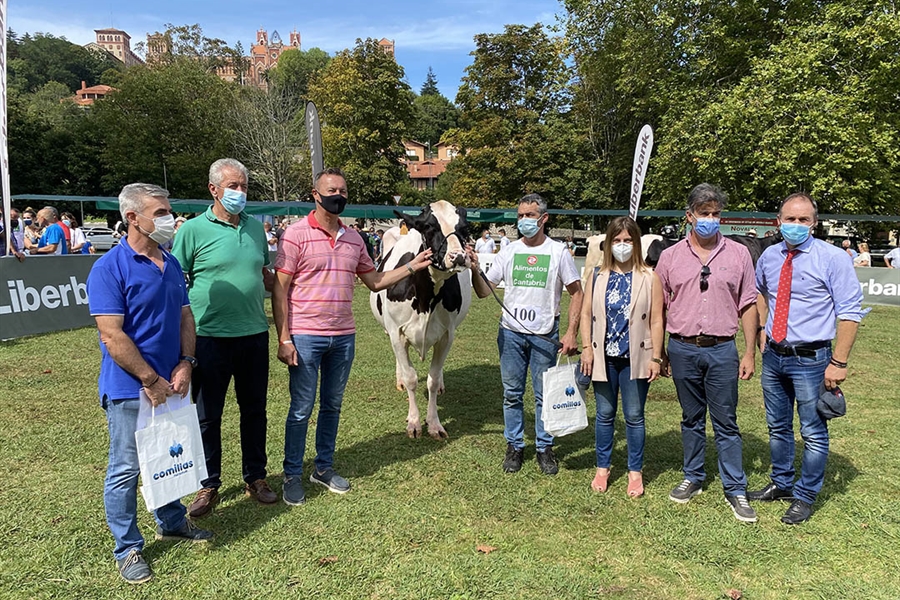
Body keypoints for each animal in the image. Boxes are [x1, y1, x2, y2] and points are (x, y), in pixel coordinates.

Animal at [370, 199, 474, 438]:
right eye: (428, 227)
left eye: (464, 229)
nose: (458, 257)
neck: (427, 299)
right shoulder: (397, 333)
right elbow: (411, 378)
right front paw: (414, 422)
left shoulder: (447, 335)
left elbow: (432, 380)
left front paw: (434, 424)